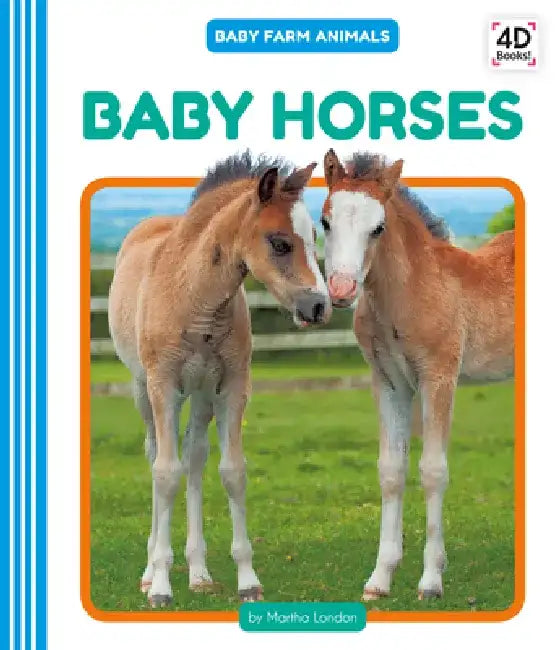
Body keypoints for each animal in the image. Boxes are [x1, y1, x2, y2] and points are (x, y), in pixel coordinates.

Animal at [108, 152, 331, 606]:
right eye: (279, 242)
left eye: (315, 234)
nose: (320, 306)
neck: (195, 296)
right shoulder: (162, 386)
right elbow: (164, 473)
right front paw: (160, 586)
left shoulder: (231, 387)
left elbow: (232, 472)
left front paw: (248, 581)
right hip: (146, 391)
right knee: (156, 455)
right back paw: (151, 571)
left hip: (201, 394)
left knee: (194, 458)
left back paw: (199, 573)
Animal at [321, 149, 514, 600]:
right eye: (324, 221)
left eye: (378, 228)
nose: (341, 290)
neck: (411, 291)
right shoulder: (389, 383)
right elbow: (391, 471)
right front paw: (379, 580)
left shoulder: (438, 377)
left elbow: (432, 471)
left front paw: (430, 581)